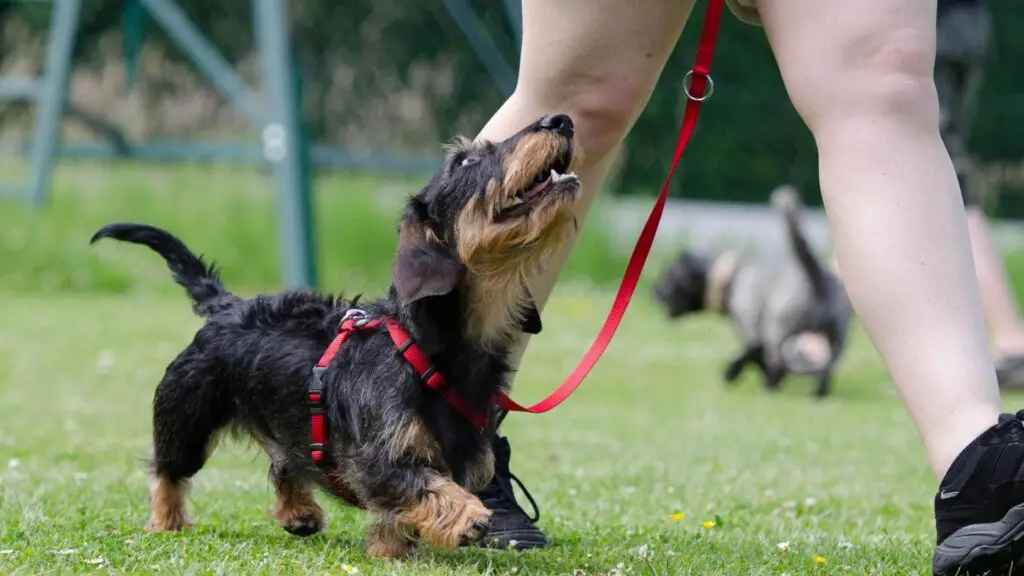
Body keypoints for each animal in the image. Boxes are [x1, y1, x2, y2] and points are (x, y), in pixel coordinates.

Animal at [86, 112, 585, 557]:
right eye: (465, 161)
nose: (560, 120)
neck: (426, 348)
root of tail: (228, 306)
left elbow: (401, 511)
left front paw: (389, 548)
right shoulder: (377, 460)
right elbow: (423, 485)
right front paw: (467, 516)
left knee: (284, 462)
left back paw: (299, 512)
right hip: (186, 417)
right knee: (167, 471)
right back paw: (166, 521)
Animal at [651, 183, 851, 393]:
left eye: (668, 277)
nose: (653, 292)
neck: (730, 279)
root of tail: (817, 276)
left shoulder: (751, 329)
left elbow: (754, 354)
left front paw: (733, 372)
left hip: (780, 332)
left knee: (782, 361)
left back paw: (770, 384)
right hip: (834, 340)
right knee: (824, 369)